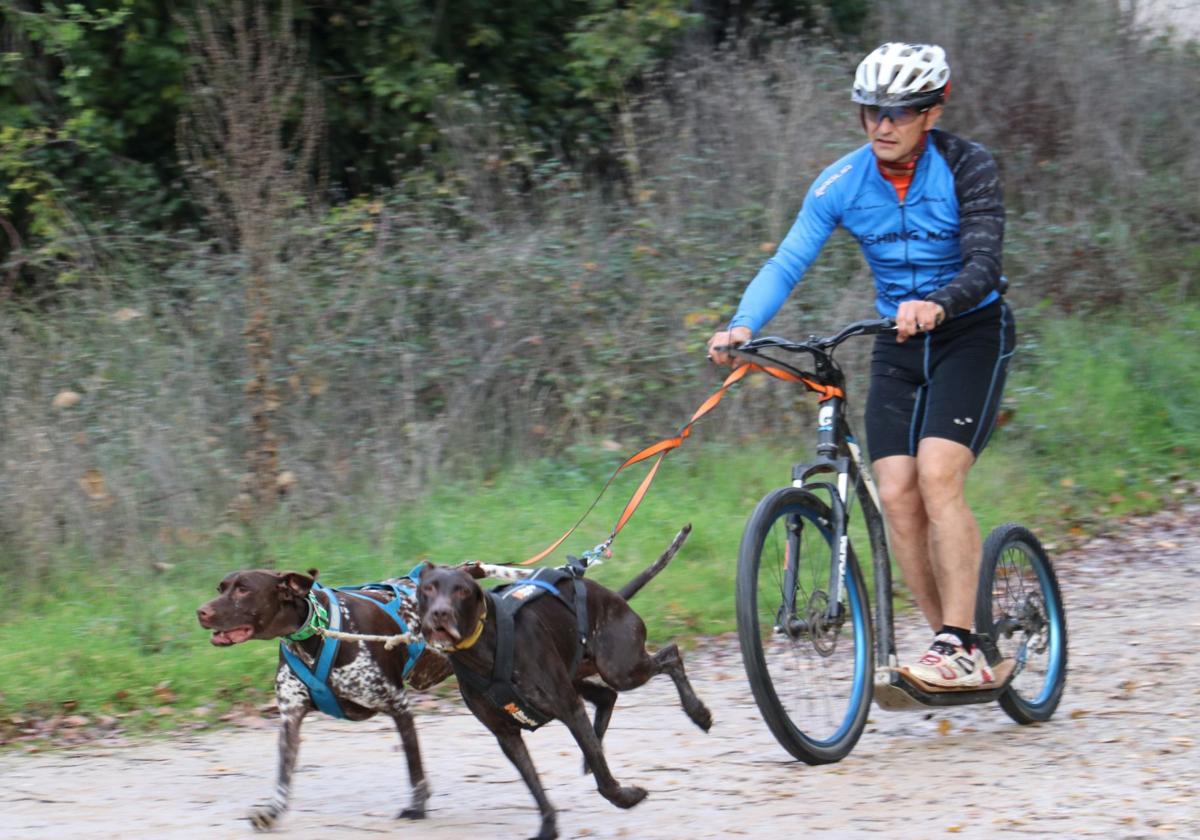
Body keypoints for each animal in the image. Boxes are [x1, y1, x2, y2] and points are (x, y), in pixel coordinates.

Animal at [196, 568, 451, 830]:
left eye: (243, 589)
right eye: (220, 588)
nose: (201, 612)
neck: (315, 630)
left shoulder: (399, 706)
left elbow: (414, 766)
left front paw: (417, 808)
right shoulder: (291, 717)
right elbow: (283, 774)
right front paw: (273, 811)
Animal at [417, 525, 710, 840]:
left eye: (461, 590)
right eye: (428, 588)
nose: (440, 613)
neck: (483, 647)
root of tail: (615, 598)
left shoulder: (570, 710)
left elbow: (604, 781)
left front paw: (625, 797)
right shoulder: (507, 736)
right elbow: (535, 786)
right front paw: (548, 826)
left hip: (620, 668)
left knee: (671, 655)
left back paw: (698, 712)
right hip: (580, 673)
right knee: (607, 698)